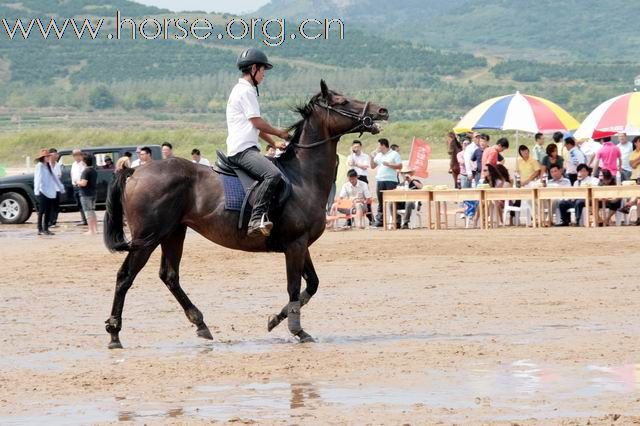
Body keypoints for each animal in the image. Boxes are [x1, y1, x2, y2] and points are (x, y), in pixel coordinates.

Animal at [102, 80, 388, 350]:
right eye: (343, 101)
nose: (382, 111)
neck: (302, 177)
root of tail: (134, 171)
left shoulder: (300, 243)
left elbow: (312, 285)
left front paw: (275, 320)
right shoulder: (295, 244)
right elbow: (294, 287)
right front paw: (297, 330)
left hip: (173, 233)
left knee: (169, 276)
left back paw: (200, 324)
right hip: (148, 238)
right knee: (125, 277)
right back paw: (114, 333)